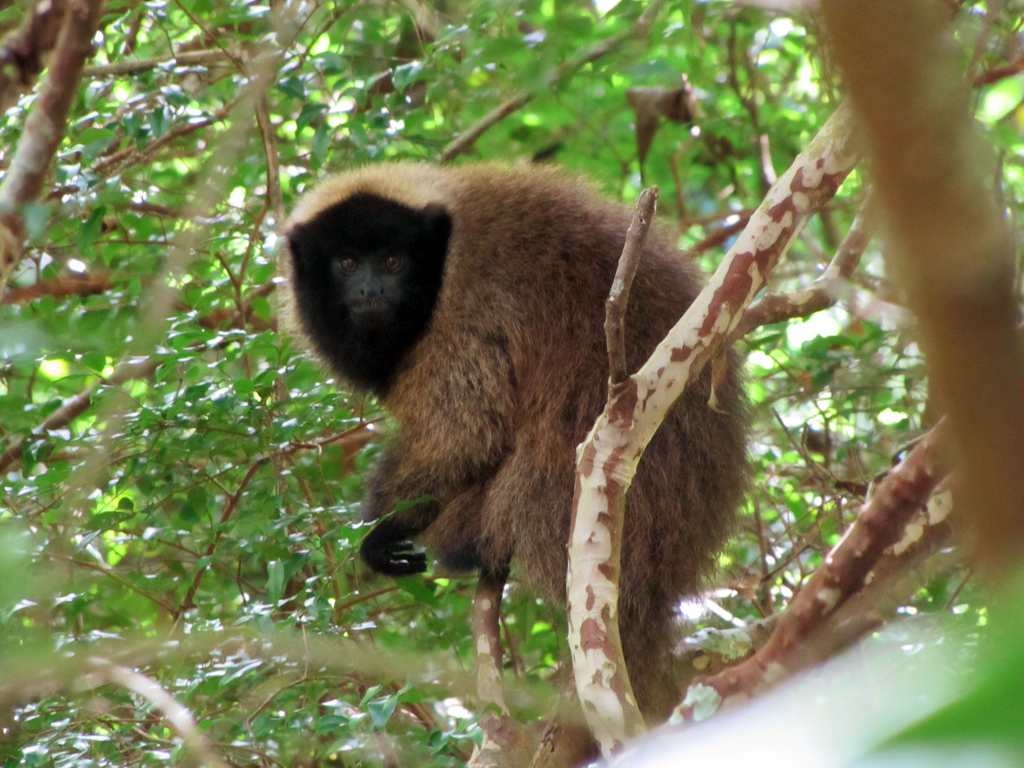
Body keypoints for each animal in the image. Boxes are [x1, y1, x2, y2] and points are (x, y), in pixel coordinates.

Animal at [284, 163, 749, 720]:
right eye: (347, 263)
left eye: (393, 262)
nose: (370, 290)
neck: (442, 261)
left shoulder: (465, 317)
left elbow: (467, 434)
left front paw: (381, 532)